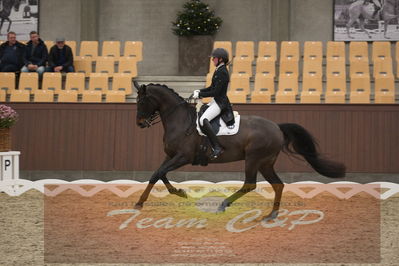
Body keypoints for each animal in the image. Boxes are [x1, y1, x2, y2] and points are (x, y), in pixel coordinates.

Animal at [134, 82, 346, 220]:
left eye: (142, 102)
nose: (140, 124)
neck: (180, 121)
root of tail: (277, 127)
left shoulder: (182, 157)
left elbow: (159, 174)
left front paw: (140, 203)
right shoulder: (170, 156)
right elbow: (158, 174)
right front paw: (178, 192)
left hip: (254, 159)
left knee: (249, 184)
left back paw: (223, 205)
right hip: (266, 162)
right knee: (278, 185)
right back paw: (272, 214)